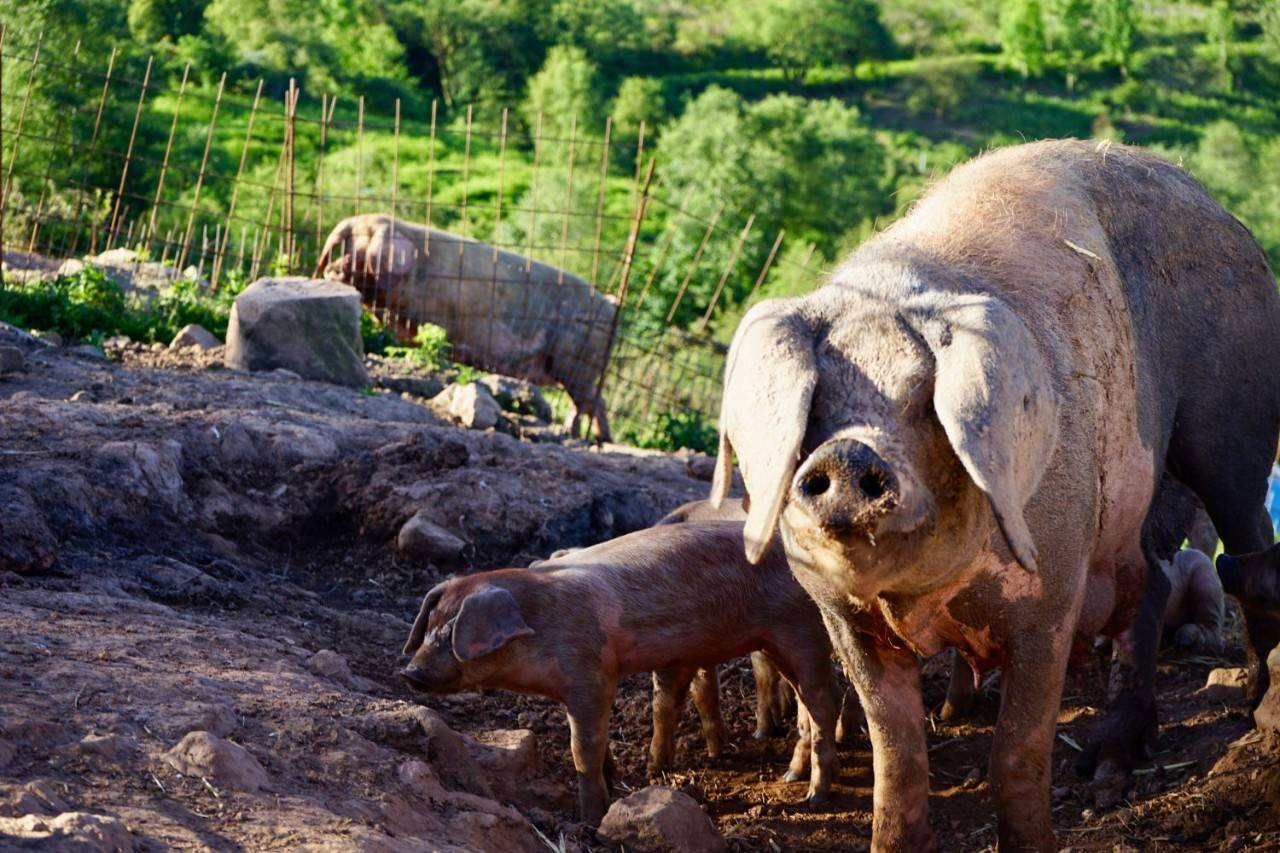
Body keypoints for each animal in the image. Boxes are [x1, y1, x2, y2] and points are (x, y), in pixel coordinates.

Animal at [320, 212, 619, 438]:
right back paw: (582, 436)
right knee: (588, 403)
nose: (333, 265)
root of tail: (611, 308)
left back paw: (589, 439)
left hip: (577, 362)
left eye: (365, 238)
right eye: (350, 241)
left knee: (591, 402)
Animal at [399, 522, 839, 819]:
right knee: (805, 704)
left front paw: (592, 818)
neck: (537, 624)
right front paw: (618, 782)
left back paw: (814, 797)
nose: (410, 673)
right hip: (777, 641)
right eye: (429, 625)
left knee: (823, 702)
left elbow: (583, 748)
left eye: (452, 633)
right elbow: (600, 742)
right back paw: (791, 777)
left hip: (803, 627)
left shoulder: (592, 674)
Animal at [711, 139, 1280, 845]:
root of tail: (1225, 215)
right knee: (1152, 585)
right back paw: (1109, 765)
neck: (924, 598)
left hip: (1233, 422)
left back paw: (1245, 708)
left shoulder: (1053, 589)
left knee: (1246, 538)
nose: (846, 452)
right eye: (816, 406)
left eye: (926, 400)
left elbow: (1017, 749)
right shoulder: (843, 617)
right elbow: (896, 756)